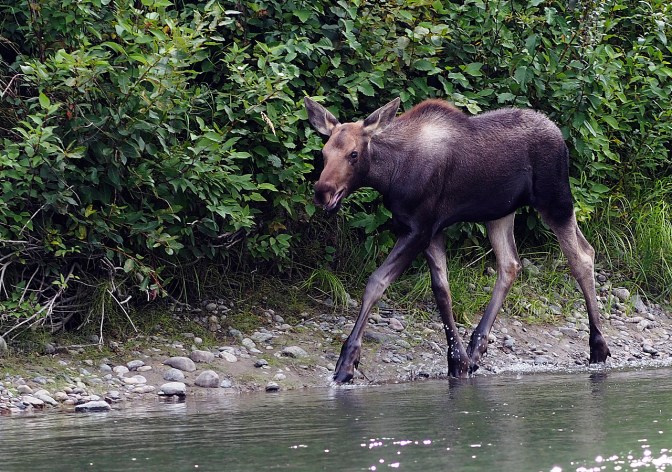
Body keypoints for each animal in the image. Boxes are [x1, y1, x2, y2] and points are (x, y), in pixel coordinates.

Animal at [304, 96, 611, 383]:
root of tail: (558, 134)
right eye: (323, 153)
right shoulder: (431, 231)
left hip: (555, 199)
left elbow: (376, 282)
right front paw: (458, 360)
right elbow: (442, 290)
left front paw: (346, 364)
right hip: (500, 211)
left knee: (581, 255)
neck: (389, 174)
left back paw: (598, 346)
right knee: (510, 263)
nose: (322, 191)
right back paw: (476, 349)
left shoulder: (419, 229)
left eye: (354, 154)